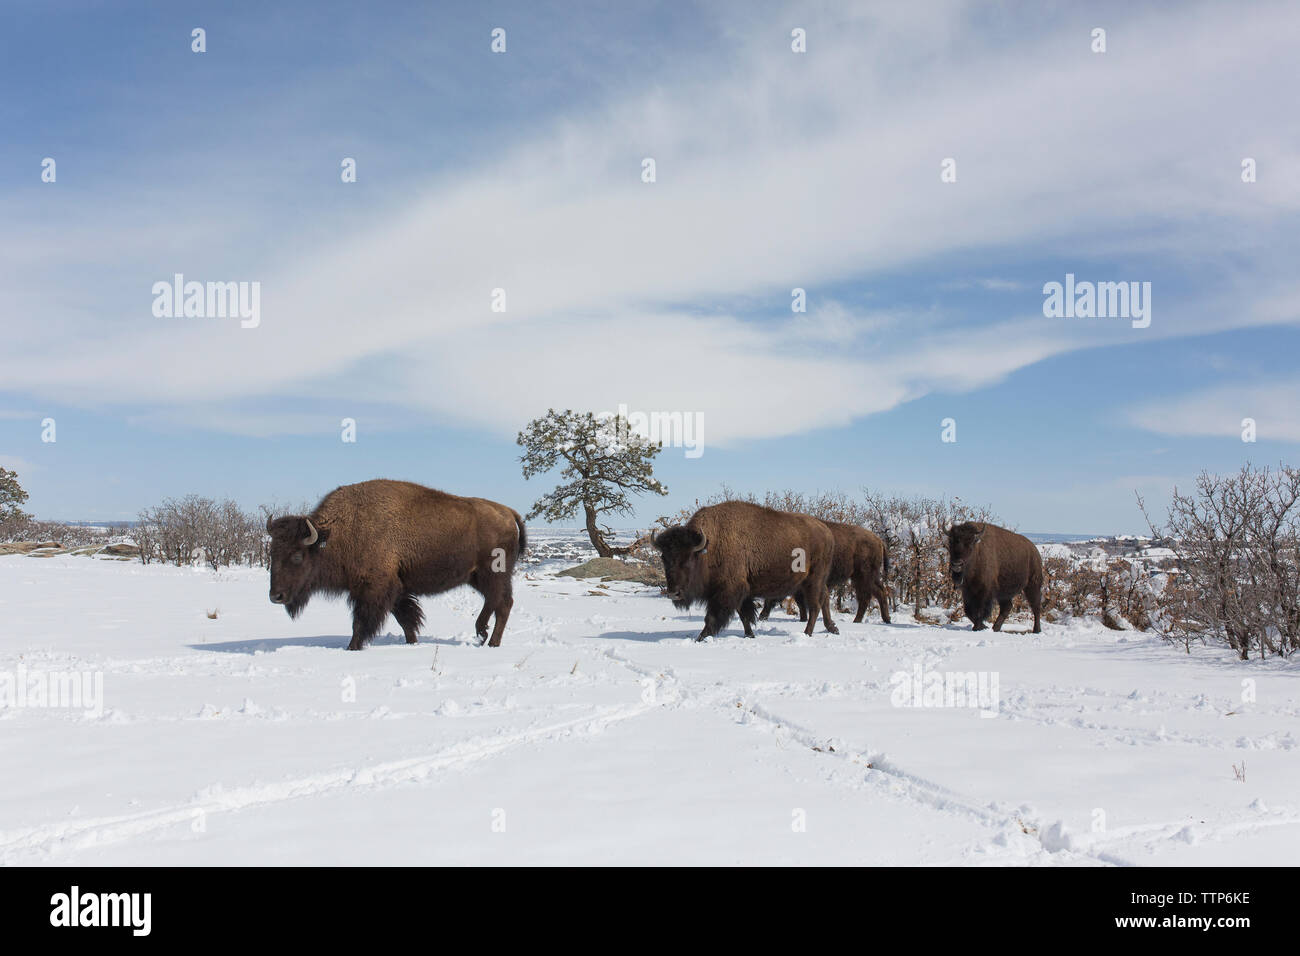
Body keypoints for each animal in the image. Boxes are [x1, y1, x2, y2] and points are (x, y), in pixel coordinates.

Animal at [267, 479, 526, 649]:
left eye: (297, 555)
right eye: (271, 553)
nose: (276, 596)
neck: (336, 533)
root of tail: (508, 512)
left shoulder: (374, 588)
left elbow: (360, 622)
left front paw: (352, 647)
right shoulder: (396, 588)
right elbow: (405, 618)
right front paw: (412, 642)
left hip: (491, 574)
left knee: (498, 602)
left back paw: (486, 636)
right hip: (479, 577)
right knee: (502, 603)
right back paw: (488, 639)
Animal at [652, 500, 837, 641]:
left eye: (688, 558)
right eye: (663, 558)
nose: (673, 594)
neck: (710, 546)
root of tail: (827, 532)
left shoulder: (728, 591)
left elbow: (712, 617)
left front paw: (700, 638)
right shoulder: (741, 592)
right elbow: (743, 615)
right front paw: (750, 635)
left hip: (813, 580)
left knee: (815, 606)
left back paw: (807, 633)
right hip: (818, 581)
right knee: (825, 599)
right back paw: (832, 628)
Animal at [759, 520, 892, 624]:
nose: (761, 616)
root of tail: (879, 540)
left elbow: (801, 601)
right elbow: (801, 602)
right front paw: (803, 619)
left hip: (864, 577)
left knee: (871, 595)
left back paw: (867, 620)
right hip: (862, 578)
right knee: (873, 594)